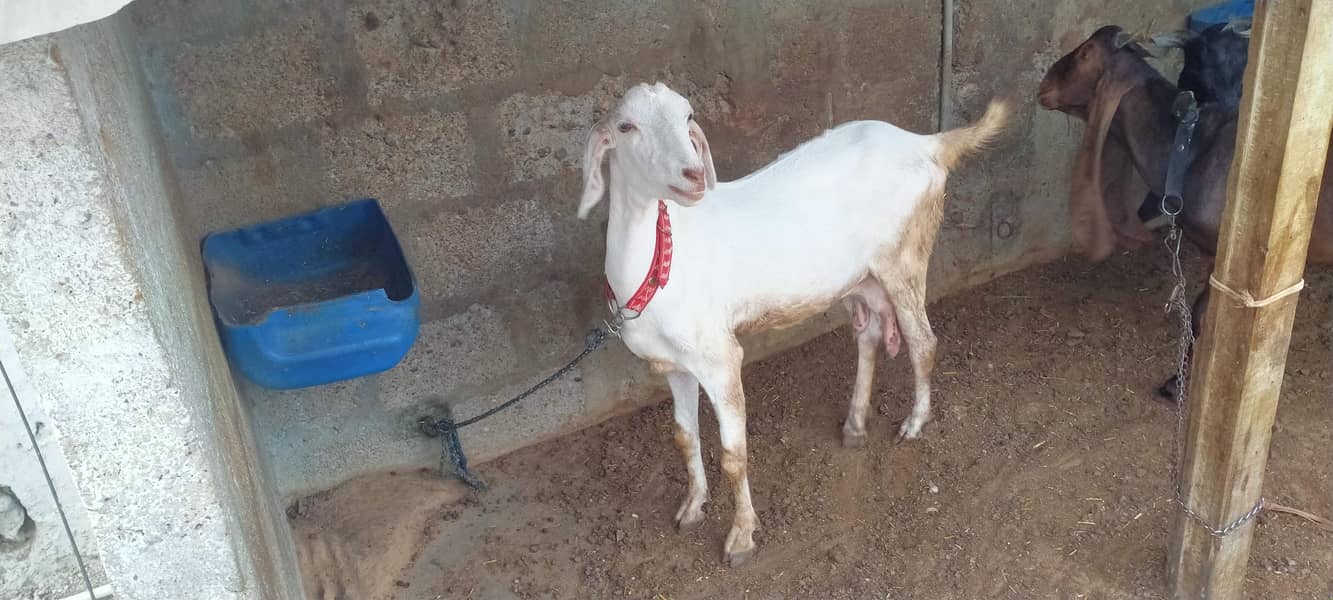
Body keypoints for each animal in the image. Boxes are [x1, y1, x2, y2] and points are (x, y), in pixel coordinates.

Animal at [580, 82, 1010, 565]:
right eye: (625, 126)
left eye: (687, 117)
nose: (693, 176)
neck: (660, 263)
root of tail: (927, 143)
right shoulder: (673, 365)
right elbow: (683, 437)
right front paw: (692, 507)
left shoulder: (719, 358)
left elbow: (734, 455)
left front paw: (742, 538)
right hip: (860, 278)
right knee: (870, 336)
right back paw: (854, 425)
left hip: (905, 256)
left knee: (923, 341)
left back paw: (914, 424)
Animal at [1036, 25, 1333, 400]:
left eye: (1086, 53)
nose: (1043, 86)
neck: (1189, 149)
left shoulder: (1226, 256)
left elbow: (1202, 314)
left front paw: (1175, 383)